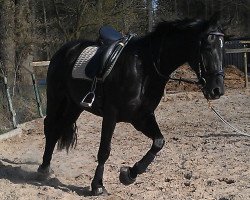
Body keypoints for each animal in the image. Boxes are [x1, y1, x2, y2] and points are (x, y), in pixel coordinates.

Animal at [38, 14, 226, 196]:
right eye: (207, 47)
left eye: (222, 48)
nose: (217, 90)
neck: (146, 68)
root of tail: (65, 49)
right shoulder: (111, 114)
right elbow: (104, 150)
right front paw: (97, 186)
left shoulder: (141, 117)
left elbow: (159, 142)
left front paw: (129, 174)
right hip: (56, 99)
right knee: (50, 126)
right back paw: (43, 168)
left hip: (74, 106)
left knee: (58, 128)